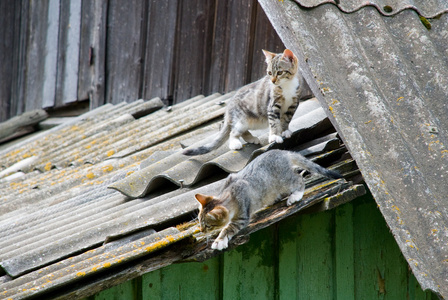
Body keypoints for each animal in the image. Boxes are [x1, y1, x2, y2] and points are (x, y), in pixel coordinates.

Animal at [194, 149, 342, 250]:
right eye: (199, 222)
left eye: (207, 225)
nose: (201, 230)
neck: (230, 192)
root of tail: (283, 152)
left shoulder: (242, 217)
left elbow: (227, 229)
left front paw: (219, 241)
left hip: (285, 180)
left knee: (300, 179)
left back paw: (295, 196)